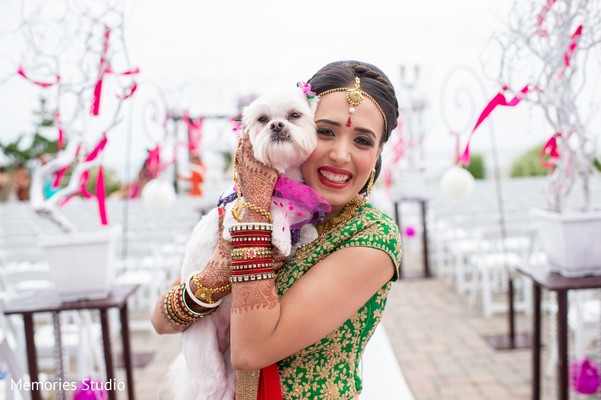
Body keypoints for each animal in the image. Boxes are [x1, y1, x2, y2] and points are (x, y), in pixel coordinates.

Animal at [166, 86, 326, 398]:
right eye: (262, 119)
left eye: (294, 115)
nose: (277, 126)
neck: (283, 178)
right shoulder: (234, 217)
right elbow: (274, 208)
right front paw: (281, 234)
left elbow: (302, 223)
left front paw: (304, 234)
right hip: (207, 363)